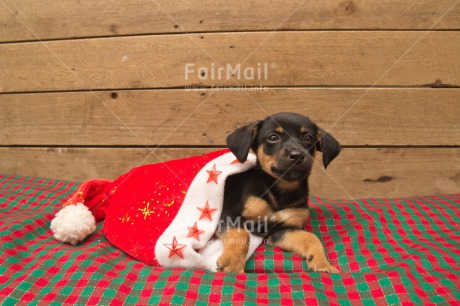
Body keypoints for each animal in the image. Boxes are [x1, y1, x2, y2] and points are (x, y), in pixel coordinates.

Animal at [217, 112, 342, 272]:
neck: (281, 191)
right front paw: (233, 264)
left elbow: (311, 238)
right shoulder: (229, 213)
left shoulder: (282, 230)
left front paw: (322, 264)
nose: (297, 155)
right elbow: (242, 235)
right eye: (273, 137)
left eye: (308, 138)